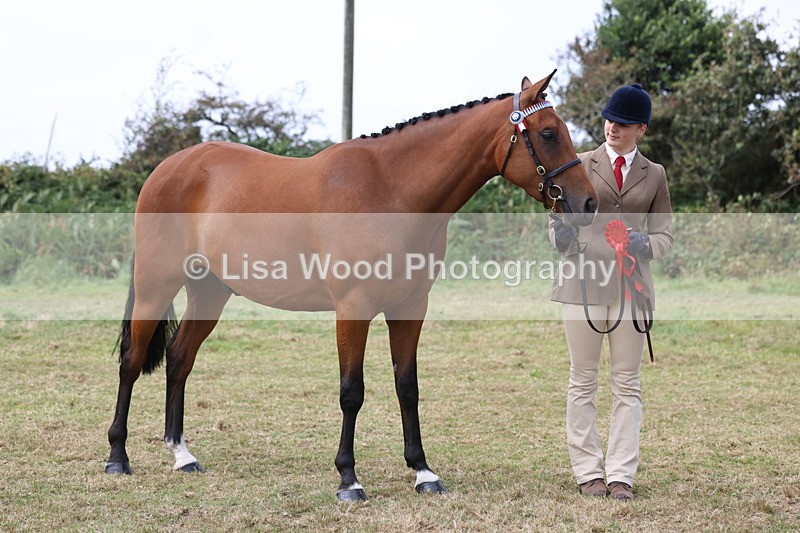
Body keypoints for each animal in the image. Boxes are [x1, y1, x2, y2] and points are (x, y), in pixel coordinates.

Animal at [105, 70, 598, 501]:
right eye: (548, 133)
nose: (589, 202)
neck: (392, 191)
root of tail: (168, 168)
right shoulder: (353, 308)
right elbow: (351, 392)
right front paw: (349, 480)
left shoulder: (410, 308)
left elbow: (407, 386)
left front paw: (423, 472)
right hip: (155, 286)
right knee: (131, 361)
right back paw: (117, 457)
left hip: (210, 292)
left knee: (179, 358)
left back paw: (182, 455)